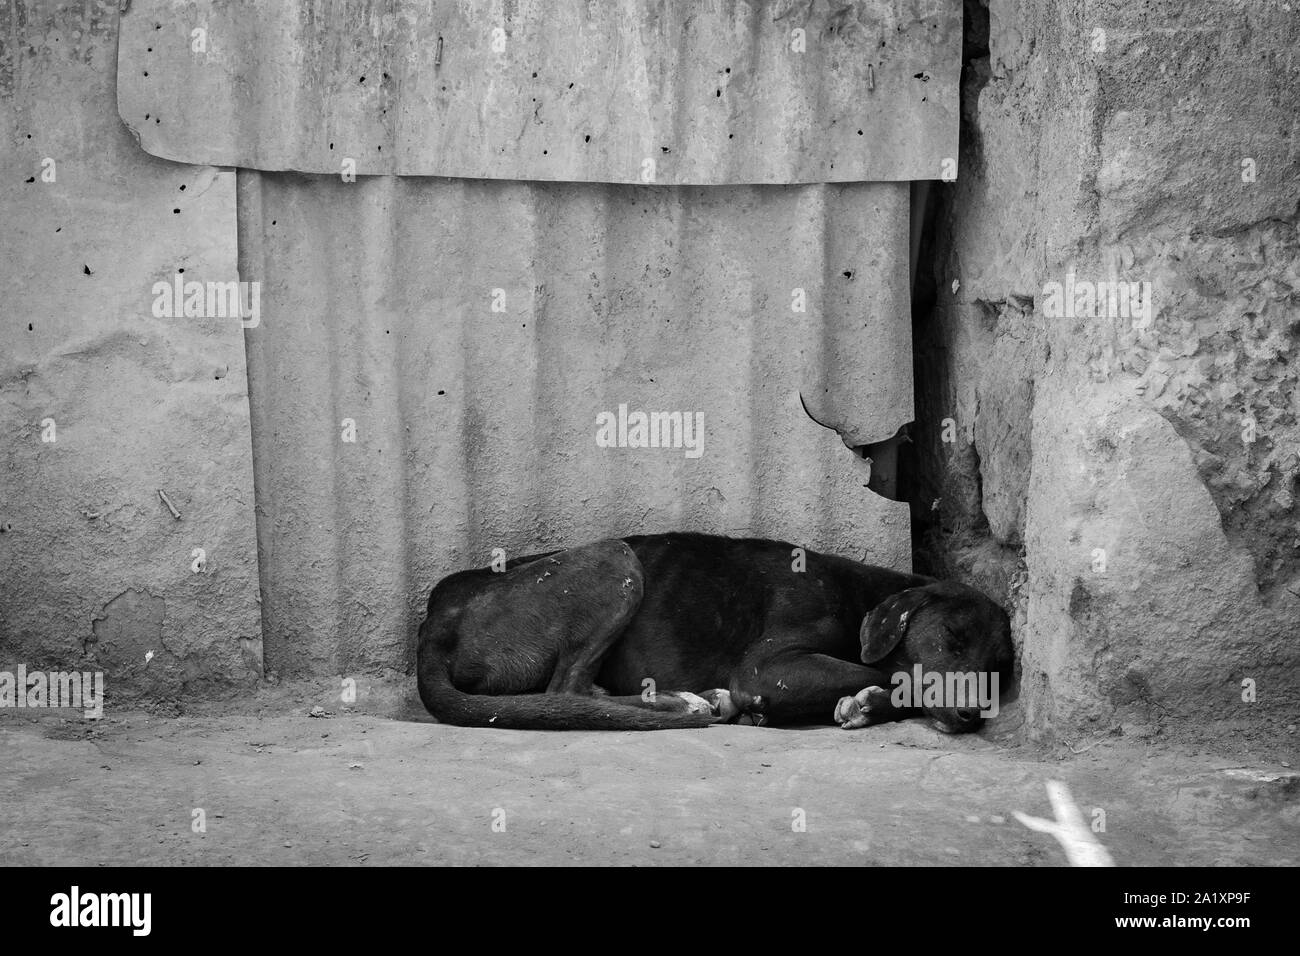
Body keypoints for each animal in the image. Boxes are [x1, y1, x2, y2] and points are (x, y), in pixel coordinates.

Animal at [416, 530, 1013, 733]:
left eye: (999, 668)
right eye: (953, 639)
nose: (972, 715)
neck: (863, 595)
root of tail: (434, 617)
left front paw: (867, 705)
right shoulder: (767, 668)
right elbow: (893, 675)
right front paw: (871, 696)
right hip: (616, 558)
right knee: (566, 690)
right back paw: (684, 702)